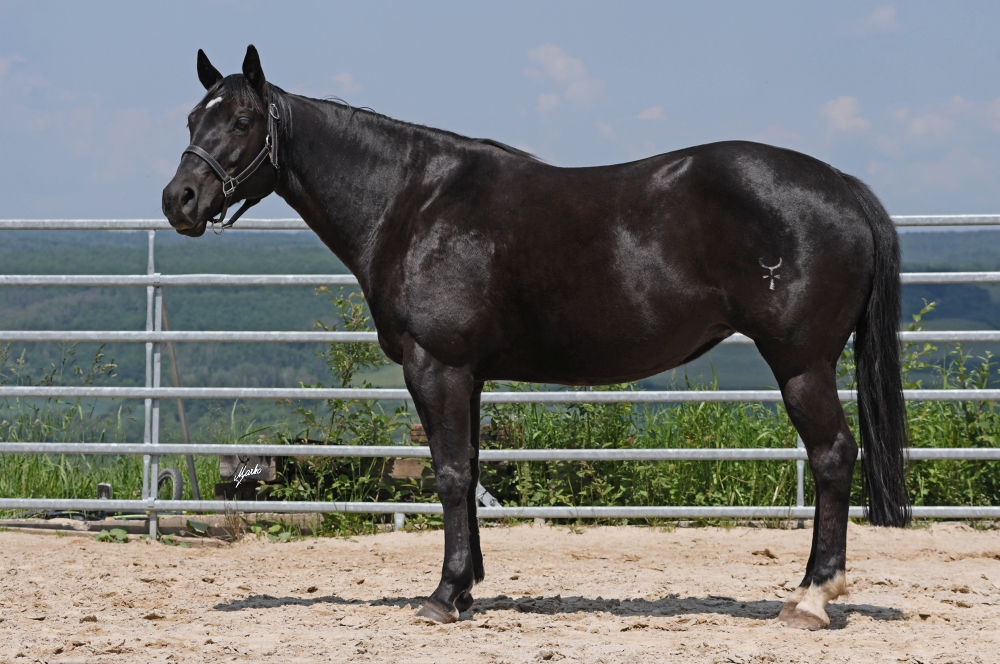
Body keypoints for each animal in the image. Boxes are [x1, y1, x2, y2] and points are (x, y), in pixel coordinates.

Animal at [160, 45, 912, 628]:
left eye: (243, 119)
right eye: (194, 116)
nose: (180, 200)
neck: (413, 201)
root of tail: (842, 186)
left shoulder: (437, 366)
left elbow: (450, 473)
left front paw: (442, 597)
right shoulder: (468, 375)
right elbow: (470, 470)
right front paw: (467, 588)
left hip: (802, 363)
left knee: (832, 457)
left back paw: (810, 598)